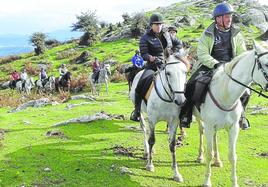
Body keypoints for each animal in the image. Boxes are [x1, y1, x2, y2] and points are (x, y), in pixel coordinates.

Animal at [129, 54, 187, 183]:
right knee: (144, 130)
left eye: (185, 72)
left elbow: (172, 145)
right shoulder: (152, 120)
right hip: (141, 113)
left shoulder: (174, 122)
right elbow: (151, 140)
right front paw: (150, 165)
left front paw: (176, 174)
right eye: (168, 73)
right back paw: (147, 152)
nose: (180, 100)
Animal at [195, 42, 268, 187]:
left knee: (215, 137)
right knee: (201, 131)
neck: (225, 96)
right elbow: (209, 154)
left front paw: (234, 183)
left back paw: (217, 160)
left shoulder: (234, 128)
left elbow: (232, 156)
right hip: (200, 120)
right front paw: (207, 181)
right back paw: (200, 156)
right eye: (266, 64)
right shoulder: (210, 126)